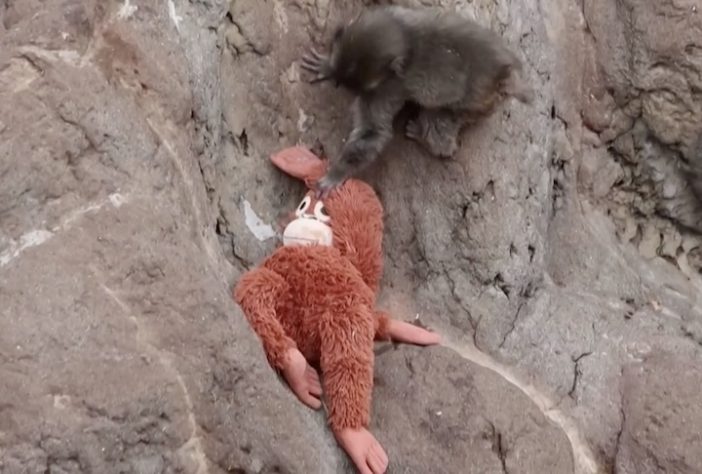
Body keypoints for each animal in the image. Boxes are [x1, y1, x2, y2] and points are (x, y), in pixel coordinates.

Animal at [301, 5, 533, 195]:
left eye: (363, 89)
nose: (354, 96)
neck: (407, 42)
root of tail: (505, 74)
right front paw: (328, 67)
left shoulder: (389, 88)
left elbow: (373, 132)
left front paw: (336, 174)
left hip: (475, 104)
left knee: (438, 119)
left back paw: (428, 138)